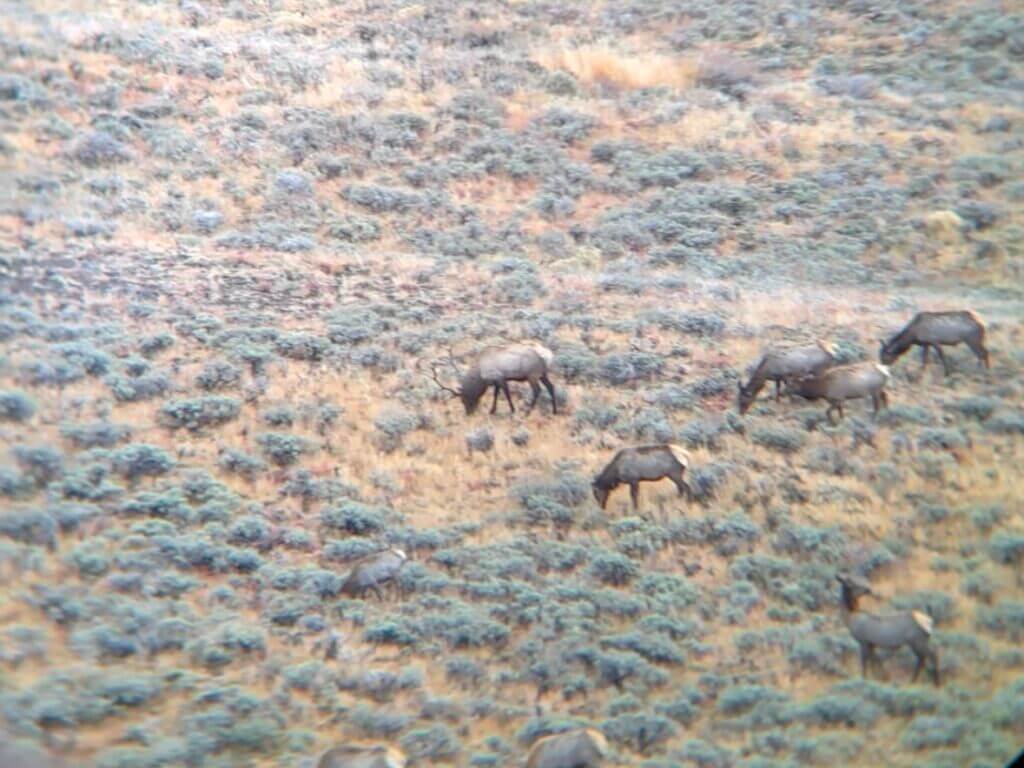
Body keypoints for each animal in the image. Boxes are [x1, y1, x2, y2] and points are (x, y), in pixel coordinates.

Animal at [432, 342, 561, 415]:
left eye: (464, 399)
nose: (469, 413)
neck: (480, 374)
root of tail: (548, 355)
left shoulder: (500, 378)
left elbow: (506, 394)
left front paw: (512, 410)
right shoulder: (496, 381)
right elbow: (496, 394)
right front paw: (492, 411)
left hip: (532, 374)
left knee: (537, 390)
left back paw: (528, 411)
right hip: (543, 373)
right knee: (551, 387)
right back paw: (554, 411)